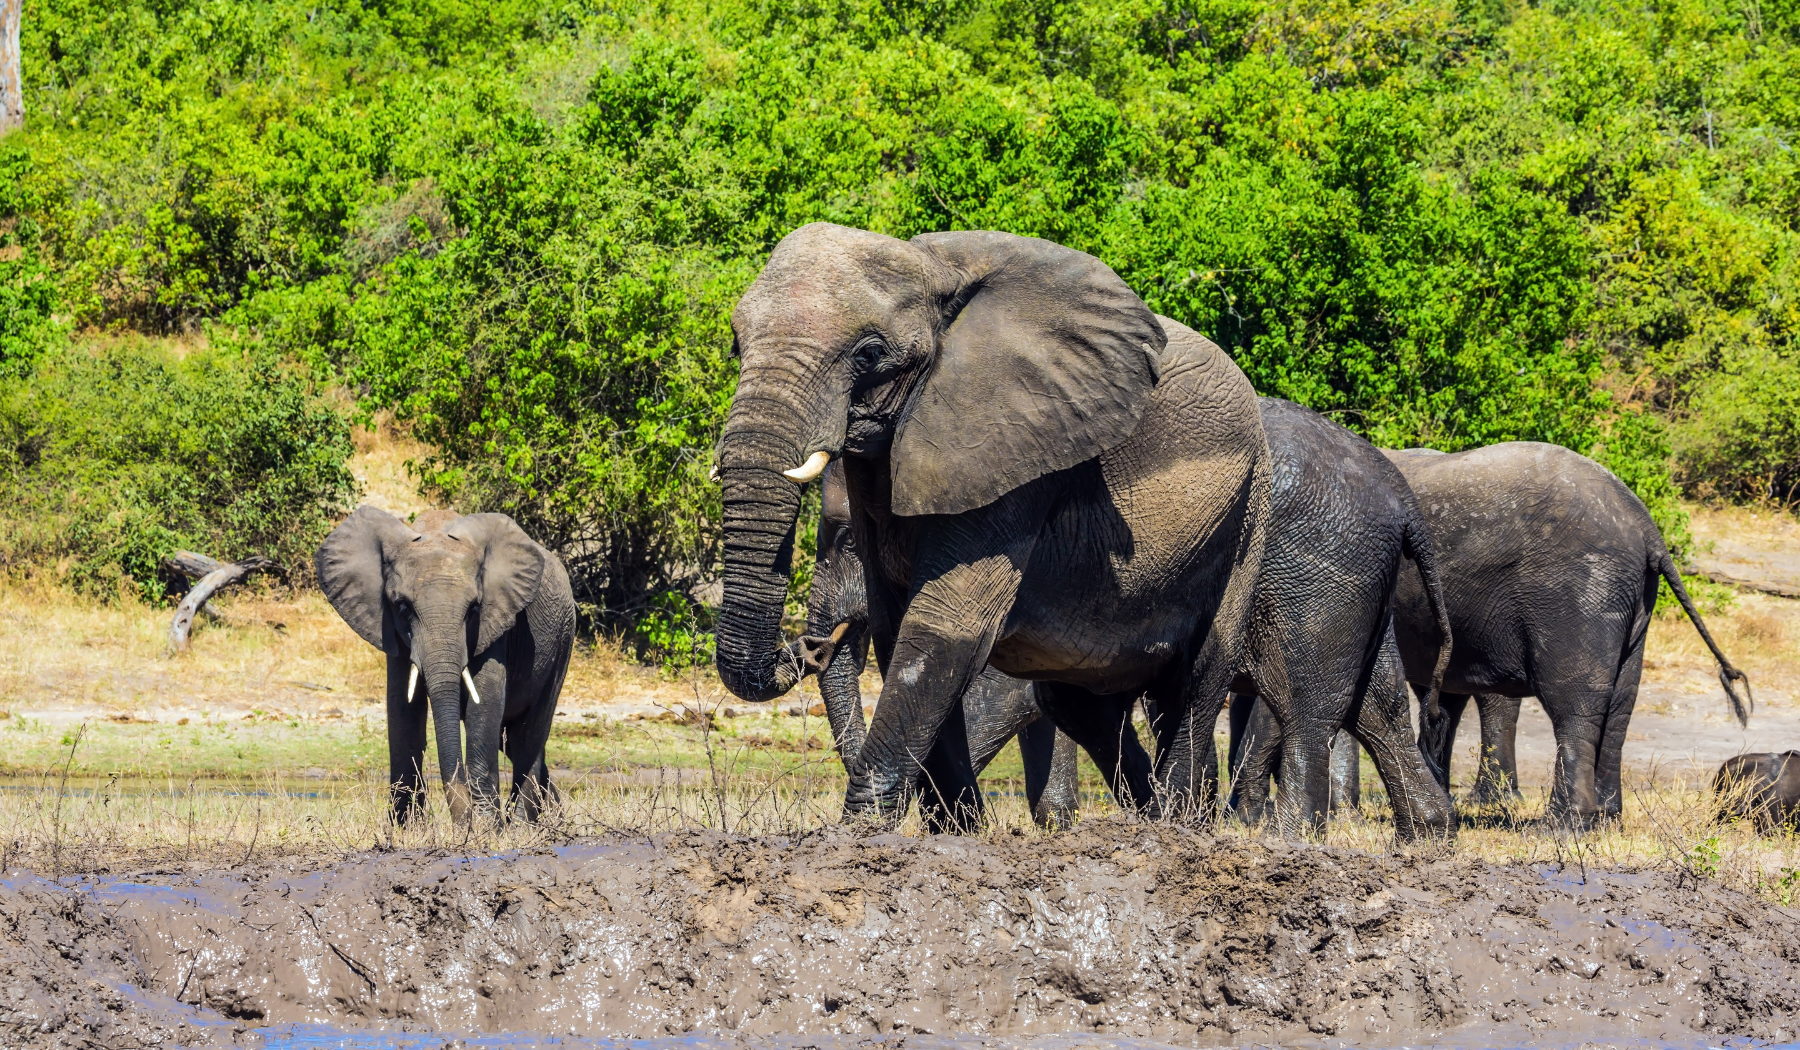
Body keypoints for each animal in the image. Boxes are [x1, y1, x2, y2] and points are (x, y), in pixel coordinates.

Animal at [316, 504, 576, 824]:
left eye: (474, 608)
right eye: (403, 607)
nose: (464, 824)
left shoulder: (495, 622)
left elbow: (484, 701)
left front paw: (487, 829)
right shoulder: (392, 630)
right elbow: (401, 707)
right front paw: (404, 829)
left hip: (563, 638)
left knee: (530, 734)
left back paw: (522, 827)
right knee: (514, 741)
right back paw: (553, 821)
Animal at [1382, 439, 1749, 824]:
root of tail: (1645, 523)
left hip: (1575, 589)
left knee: (1574, 702)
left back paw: (1561, 827)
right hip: (1627, 595)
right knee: (1619, 705)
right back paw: (1603, 820)